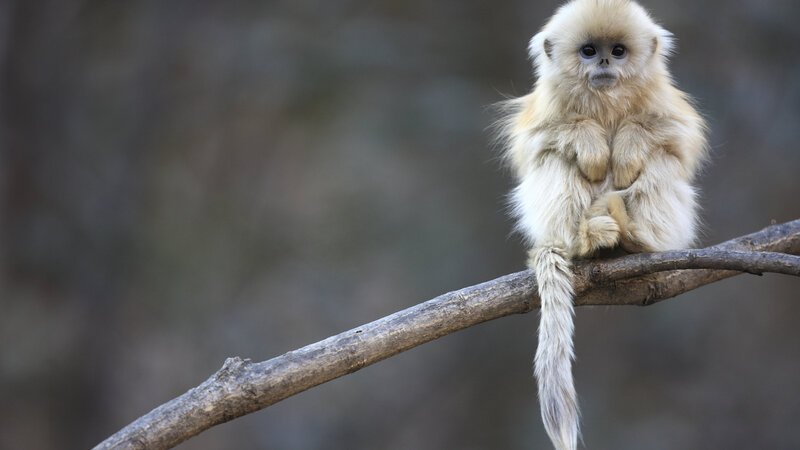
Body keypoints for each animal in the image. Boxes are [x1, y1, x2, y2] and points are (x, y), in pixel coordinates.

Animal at [498, 1, 707, 449]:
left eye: (619, 51)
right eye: (589, 51)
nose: (606, 63)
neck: (606, 98)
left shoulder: (664, 101)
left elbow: (676, 137)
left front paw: (626, 148)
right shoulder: (546, 108)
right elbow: (537, 142)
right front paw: (592, 145)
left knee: (660, 160)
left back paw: (635, 238)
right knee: (555, 158)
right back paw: (587, 240)